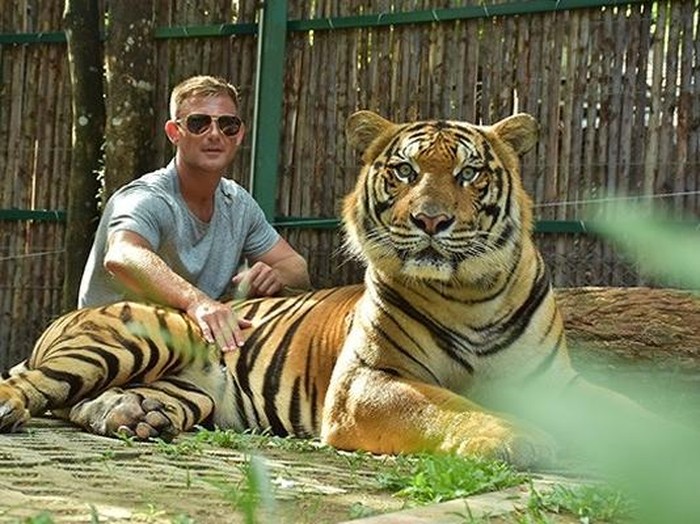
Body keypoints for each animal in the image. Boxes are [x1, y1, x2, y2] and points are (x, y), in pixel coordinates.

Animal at [0, 110, 637, 469]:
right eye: (405, 171)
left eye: (469, 173)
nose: (431, 220)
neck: (471, 293)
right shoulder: (367, 383)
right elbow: (444, 405)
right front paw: (514, 436)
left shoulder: (555, 382)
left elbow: (630, 411)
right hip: (133, 339)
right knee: (40, 385)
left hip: (187, 392)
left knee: (85, 405)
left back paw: (136, 418)